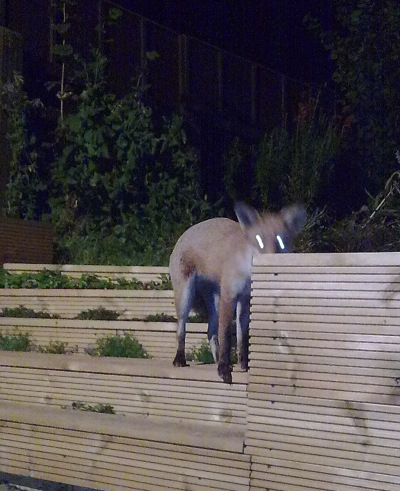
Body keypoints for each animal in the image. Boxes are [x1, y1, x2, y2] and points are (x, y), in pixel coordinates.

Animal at [169, 203, 306, 384]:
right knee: (181, 328)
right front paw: (224, 368)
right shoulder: (230, 297)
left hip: (214, 302)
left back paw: (215, 360)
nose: (269, 261)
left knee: (211, 331)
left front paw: (243, 364)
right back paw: (180, 358)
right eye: (259, 240)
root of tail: (184, 234)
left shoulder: (245, 300)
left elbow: (242, 337)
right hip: (186, 296)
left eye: (281, 241)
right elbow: (227, 336)